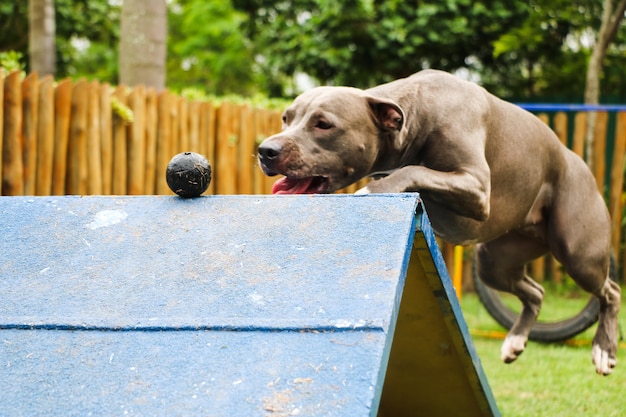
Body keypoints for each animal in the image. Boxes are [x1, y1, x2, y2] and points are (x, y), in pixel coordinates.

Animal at [256, 70, 616, 376]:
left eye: (324, 124)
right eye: (287, 118)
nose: (265, 150)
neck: (414, 115)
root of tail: (576, 160)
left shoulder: (475, 184)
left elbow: (414, 170)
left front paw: (373, 189)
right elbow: (416, 171)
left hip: (579, 254)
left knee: (609, 291)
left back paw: (604, 352)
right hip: (494, 262)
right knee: (536, 292)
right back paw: (515, 342)